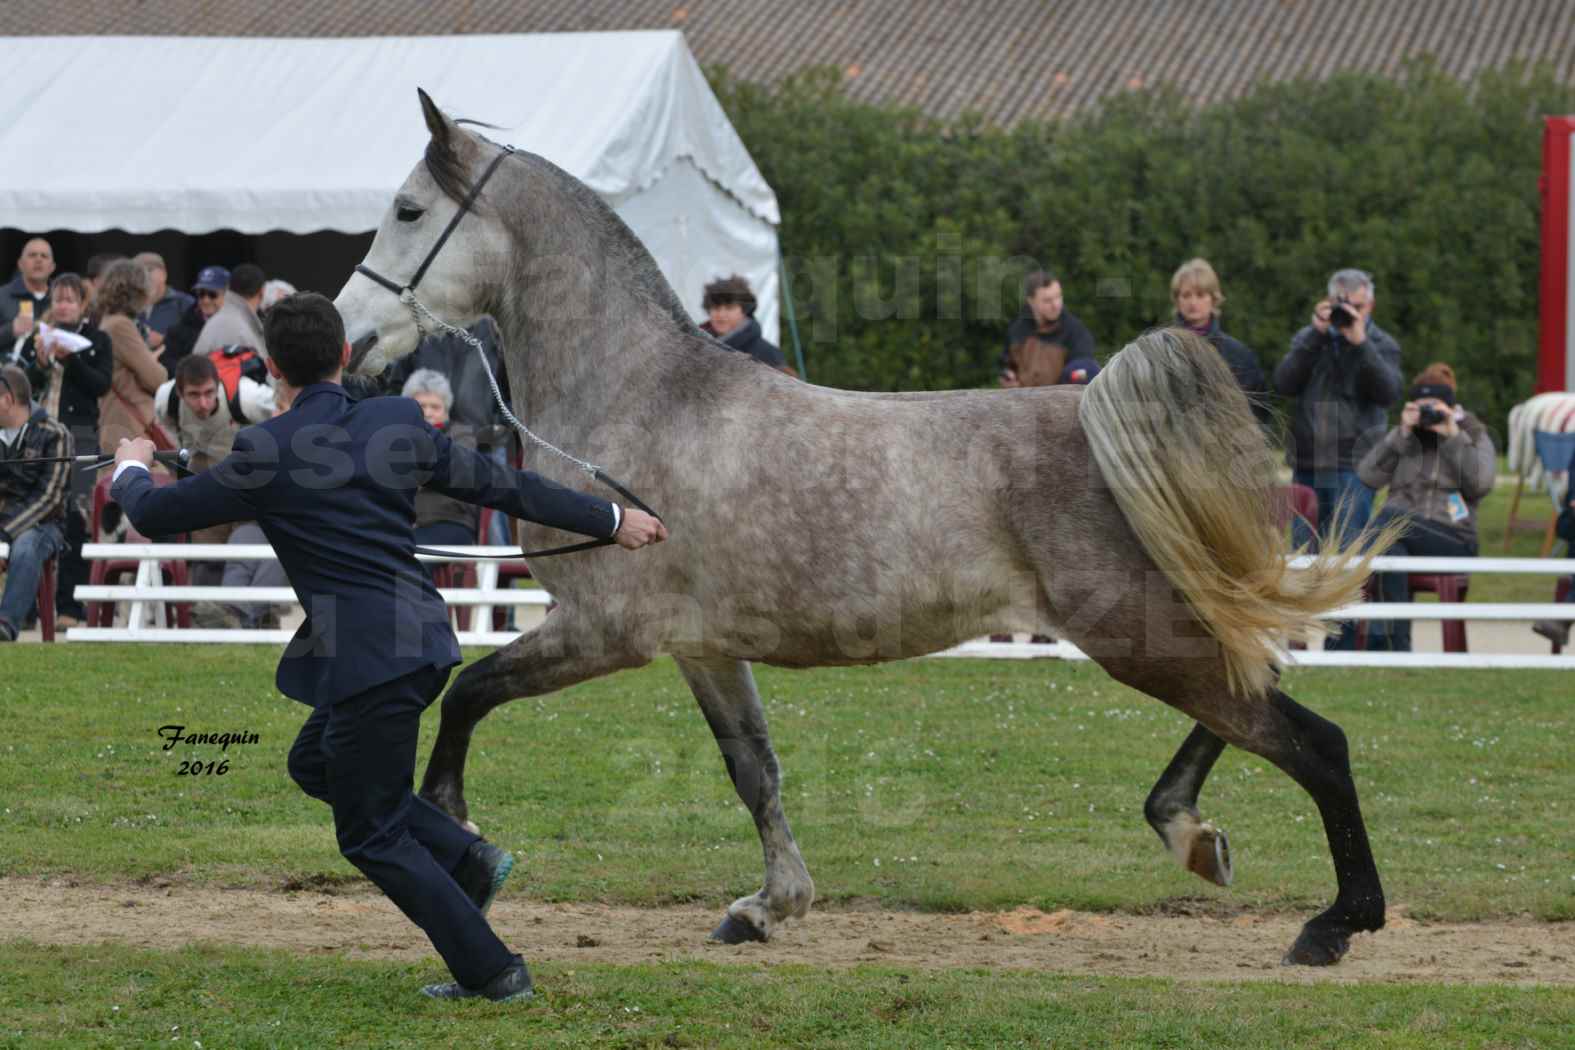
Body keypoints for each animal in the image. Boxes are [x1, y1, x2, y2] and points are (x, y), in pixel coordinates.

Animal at [338, 92, 1398, 969]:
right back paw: (1193, 834)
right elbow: (753, 771)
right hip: (1160, 626)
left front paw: (461, 839)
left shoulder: (607, 633)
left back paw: (1333, 921)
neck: (642, 401)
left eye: (407, 211)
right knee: (1255, 692)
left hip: (1134, 632)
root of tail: (1108, 422)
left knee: (1312, 739)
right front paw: (769, 907)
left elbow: (468, 695)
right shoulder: (704, 650)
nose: (344, 339)